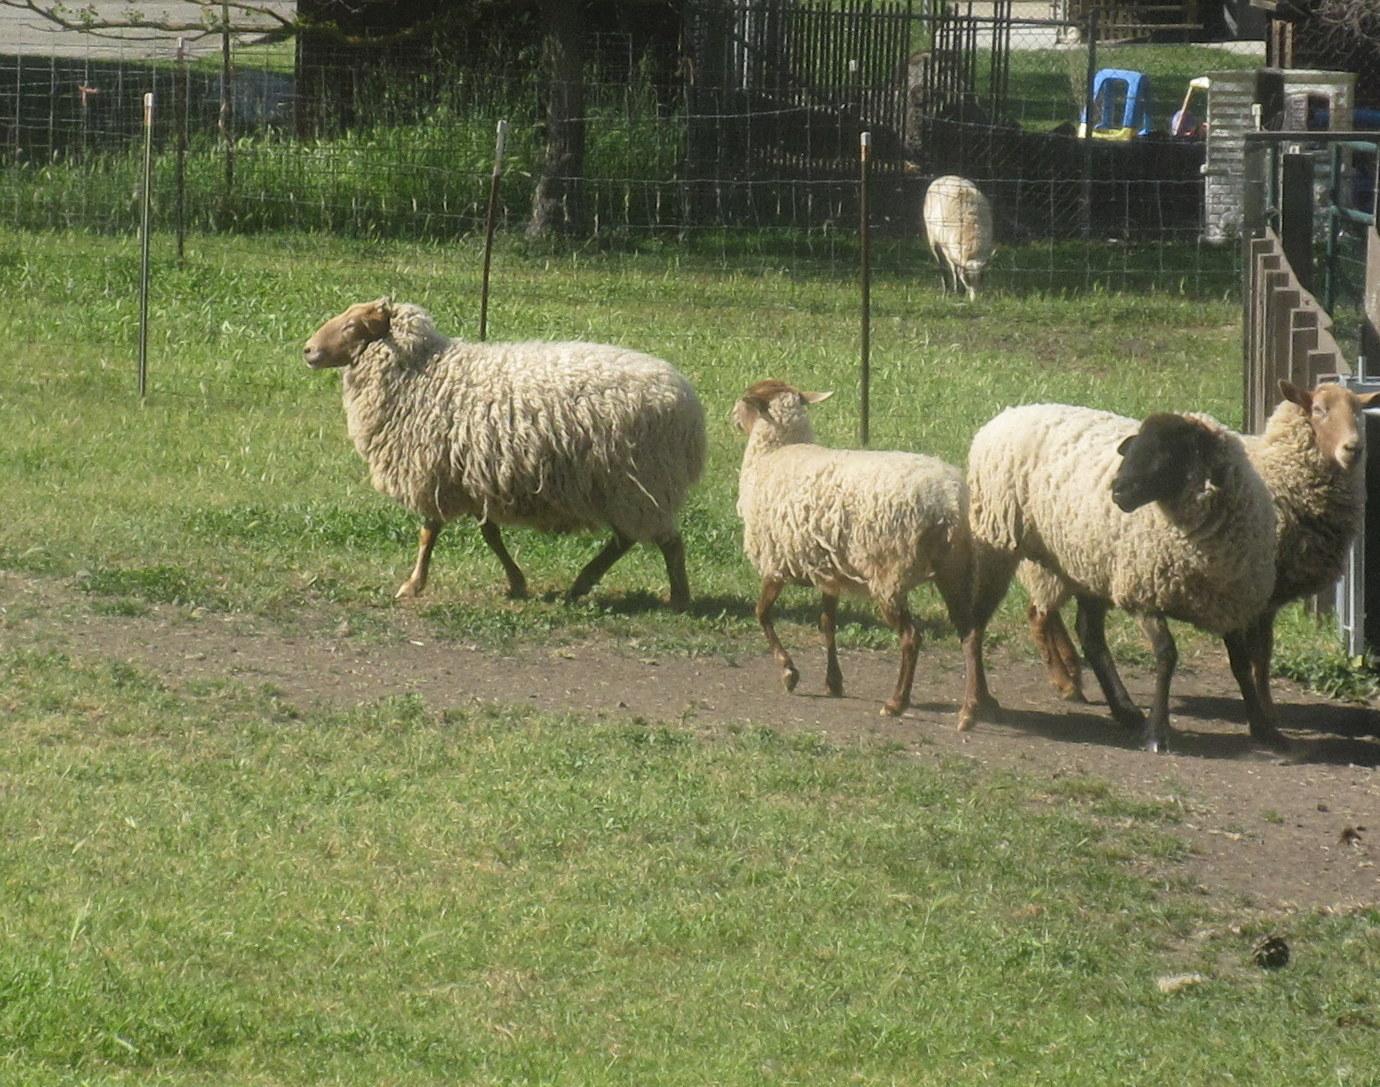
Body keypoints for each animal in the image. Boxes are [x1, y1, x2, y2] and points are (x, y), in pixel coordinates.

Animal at [304, 296, 712, 612]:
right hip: (626, 488)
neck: (423, 371)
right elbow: (490, 534)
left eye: (353, 325)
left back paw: (678, 599)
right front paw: (516, 582)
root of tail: (688, 405)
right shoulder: (472, 476)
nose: (307, 349)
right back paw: (582, 584)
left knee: (667, 542)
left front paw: (412, 585)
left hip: (640, 483)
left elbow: (428, 532)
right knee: (627, 540)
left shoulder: (435, 471)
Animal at [728, 383, 988, 722]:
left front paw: (789, 672)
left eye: (746, 401)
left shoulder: (775, 562)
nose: (732, 417)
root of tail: (949, 502)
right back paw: (970, 709)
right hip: (955, 570)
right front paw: (833, 681)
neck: (774, 452)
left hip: (890, 574)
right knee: (970, 633)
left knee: (911, 637)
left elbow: (762, 613)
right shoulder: (827, 569)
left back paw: (897, 702)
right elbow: (827, 622)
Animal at [966, 402, 1275, 750]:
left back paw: (1124, 709)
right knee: (977, 622)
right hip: (998, 542)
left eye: (1167, 452)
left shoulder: (1231, 604)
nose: (1117, 491)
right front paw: (1157, 732)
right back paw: (982, 701)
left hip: (1087, 565)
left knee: (1089, 635)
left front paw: (1264, 728)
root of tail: (1006, 414)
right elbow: (1167, 655)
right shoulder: (1143, 595)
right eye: (1135, 447)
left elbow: (1241, 663)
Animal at [1026, 377, 1380, 744]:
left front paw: (1265, 715)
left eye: (1359, 411)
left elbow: (1258, 654)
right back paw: (1066, 682)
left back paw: (1077, 675)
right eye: (1319, 410)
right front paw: (1267, 711)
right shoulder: (1257, 594)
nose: (1353, 449)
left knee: (1067, 622)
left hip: (1084, 566)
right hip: (1056, 565)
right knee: (1040, 615)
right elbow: (1260, 655)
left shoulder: (1253, 593)